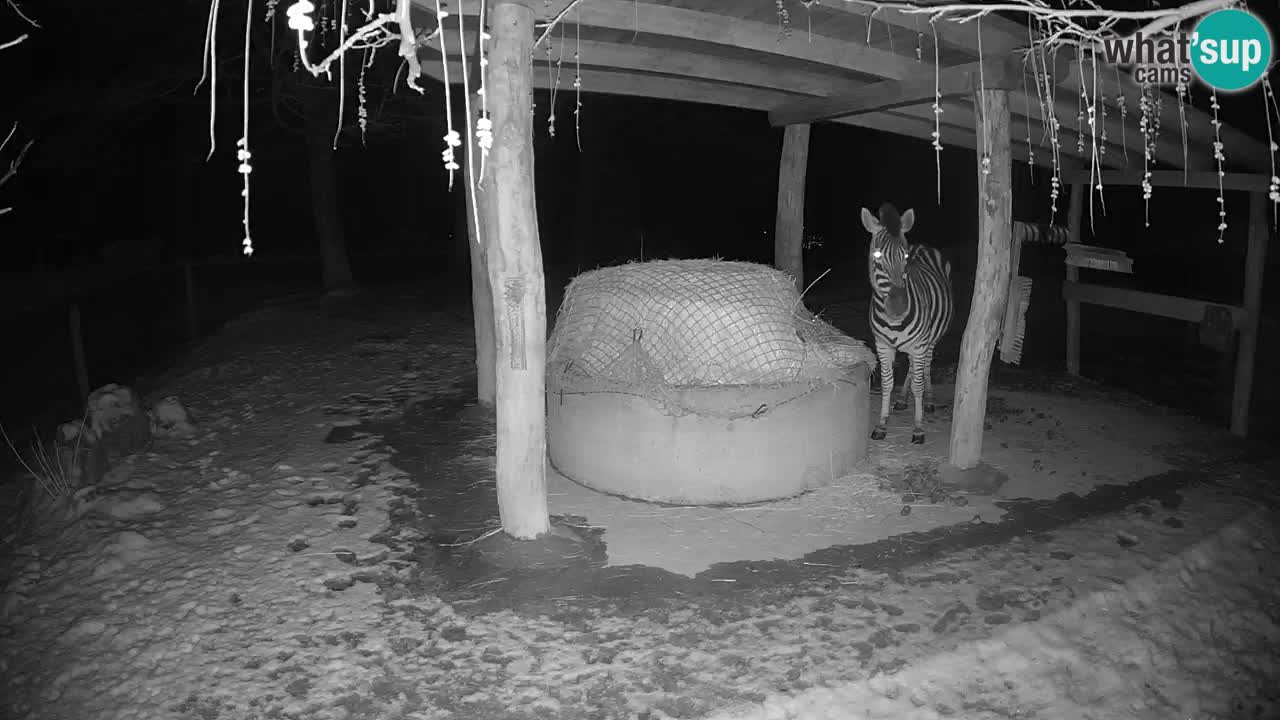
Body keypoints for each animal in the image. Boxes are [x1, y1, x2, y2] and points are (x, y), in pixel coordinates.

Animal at [865, 198, 957, 440]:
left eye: (905, 257)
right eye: (877, 256)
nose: (898, 308)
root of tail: (923, 246)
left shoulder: (920, 343)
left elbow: (918, 384)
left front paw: (918, 428)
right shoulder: (882, 345)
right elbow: (887, 383)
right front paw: (882, 424)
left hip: (929, 340)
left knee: (924, 366)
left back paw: (929, 400)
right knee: (913, 366)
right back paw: (901, 400)